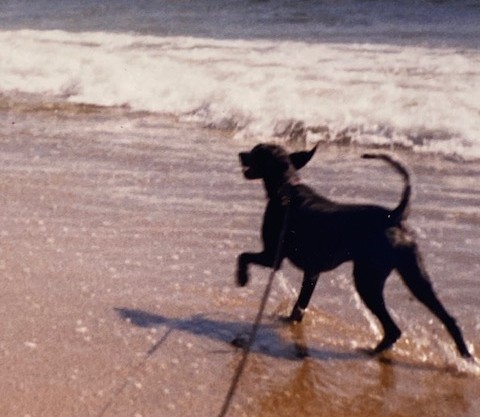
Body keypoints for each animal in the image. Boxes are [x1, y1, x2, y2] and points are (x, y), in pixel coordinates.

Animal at [236, 143, 471, 358]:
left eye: (257, 151)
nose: (240, 154)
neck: (286, 188)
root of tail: (394, 216)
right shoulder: (312, 272)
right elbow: (300, 305)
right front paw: (290, 321)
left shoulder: (272, 257)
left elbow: (243, 256)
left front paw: (242, 278)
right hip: (414, 275)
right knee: (446, 317)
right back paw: (464, 354)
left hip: (368, 279)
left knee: (394, 329)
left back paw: (373, 351)